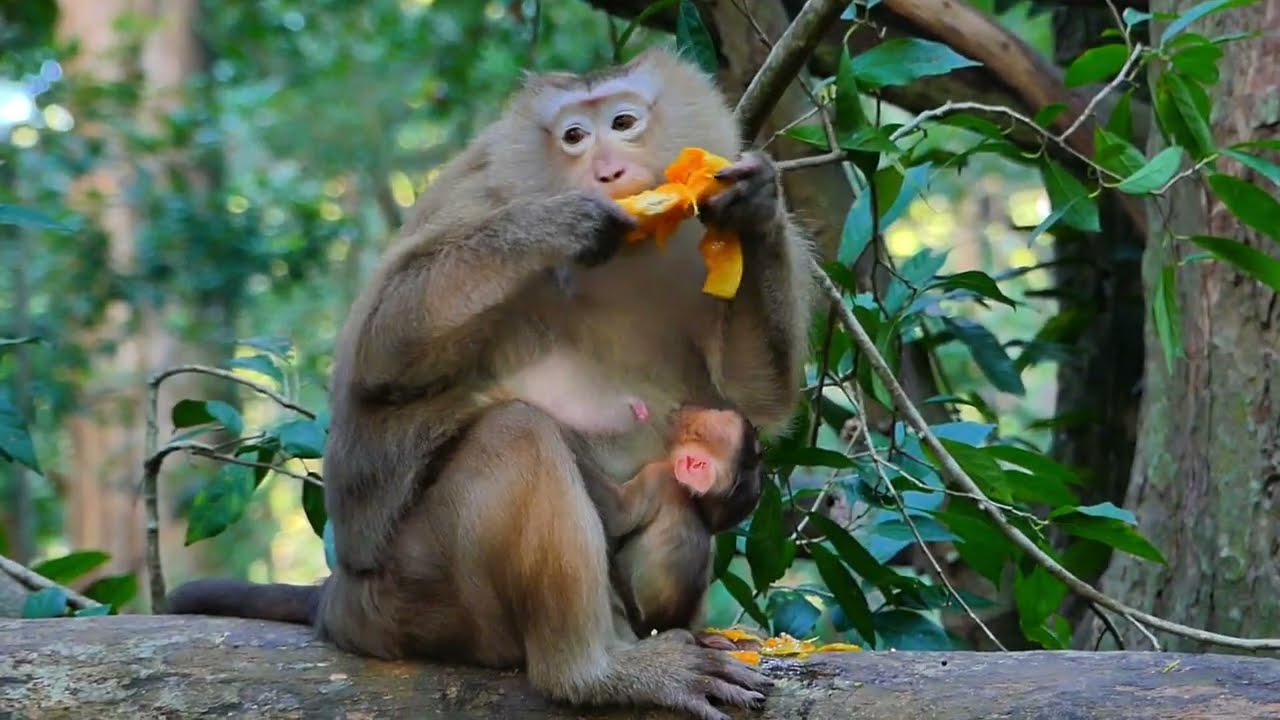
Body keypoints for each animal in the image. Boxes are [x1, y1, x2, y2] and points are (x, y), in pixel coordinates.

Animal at [166, 46, 817, 720]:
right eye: (574, 136)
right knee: (517, 434)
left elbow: (747, 398)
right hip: (422, 599)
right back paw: (587, 673)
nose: (607, 170)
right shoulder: (471, 195)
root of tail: (344, 597)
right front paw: (554, 222)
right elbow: (378, 353)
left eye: (624, 122)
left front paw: (756, 204)